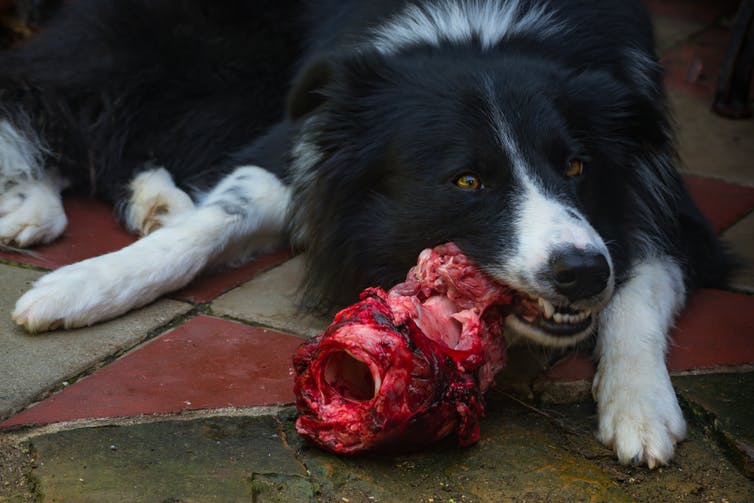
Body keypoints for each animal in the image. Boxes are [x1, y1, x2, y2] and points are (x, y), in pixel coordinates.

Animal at [0, 0, 728, 468]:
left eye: (576, 166)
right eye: (468, 180)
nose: (580, 272)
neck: (483, 35)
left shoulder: (663, 197)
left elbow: (639, 286)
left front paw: (639, 406)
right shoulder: (304, 136)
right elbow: (220, 214)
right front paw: (81, 285)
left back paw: (147, 198)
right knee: (62, 97)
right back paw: (37, 205)